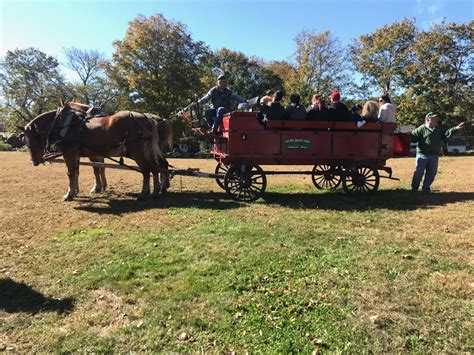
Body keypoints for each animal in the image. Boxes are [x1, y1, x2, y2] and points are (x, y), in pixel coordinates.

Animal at [20, 102, 173, 200]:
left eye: (33, 139)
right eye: (24, 141)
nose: (35, 161)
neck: (65, 124)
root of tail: (148, 119)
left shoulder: (70, 153)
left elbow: (73, 173)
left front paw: (70, 194)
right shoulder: (79, 154)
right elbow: (81, 171)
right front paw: (77, 191)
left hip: (138, 151)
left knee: (147, 170)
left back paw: (145, 192)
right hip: (148, 150)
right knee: (156, 167)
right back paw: (157, 190)